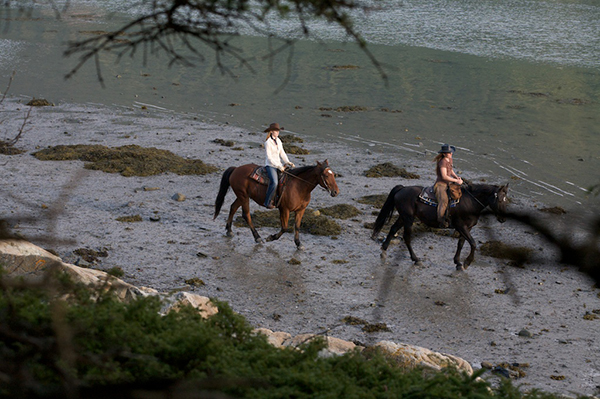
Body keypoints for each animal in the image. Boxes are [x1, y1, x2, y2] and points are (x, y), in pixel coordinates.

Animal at [372, 183, 508, 270]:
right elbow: (473, 243)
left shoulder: (467, 228)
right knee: (407, 237)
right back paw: (416, 259)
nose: (503, 218)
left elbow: (461, 243)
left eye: (506, 200)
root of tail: (402, 189)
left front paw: (458, 263)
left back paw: (384, 251)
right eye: (500, 199)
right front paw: (467, 263)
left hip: (403, 217)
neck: (470, 202)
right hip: (408, 219)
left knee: (393, 229)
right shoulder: (461, 226)